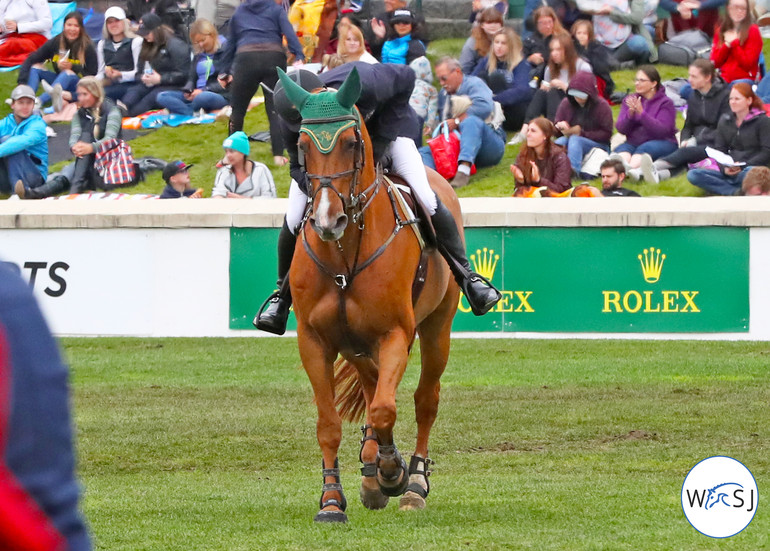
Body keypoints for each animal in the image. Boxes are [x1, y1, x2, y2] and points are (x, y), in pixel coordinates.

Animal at [280, 69, 460, 520]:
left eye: (350, 142)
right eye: (302, 145)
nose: (328, 221)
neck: (344, 256)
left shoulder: (395, 333)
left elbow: (385, 408)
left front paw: (393, 471)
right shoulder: (315, 341)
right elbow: (330, 422)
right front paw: (332, 499)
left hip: (436, 328)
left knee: (423, 398)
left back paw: (412, 482)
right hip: (355, 343)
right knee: (372, 382)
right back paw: (370, 468)